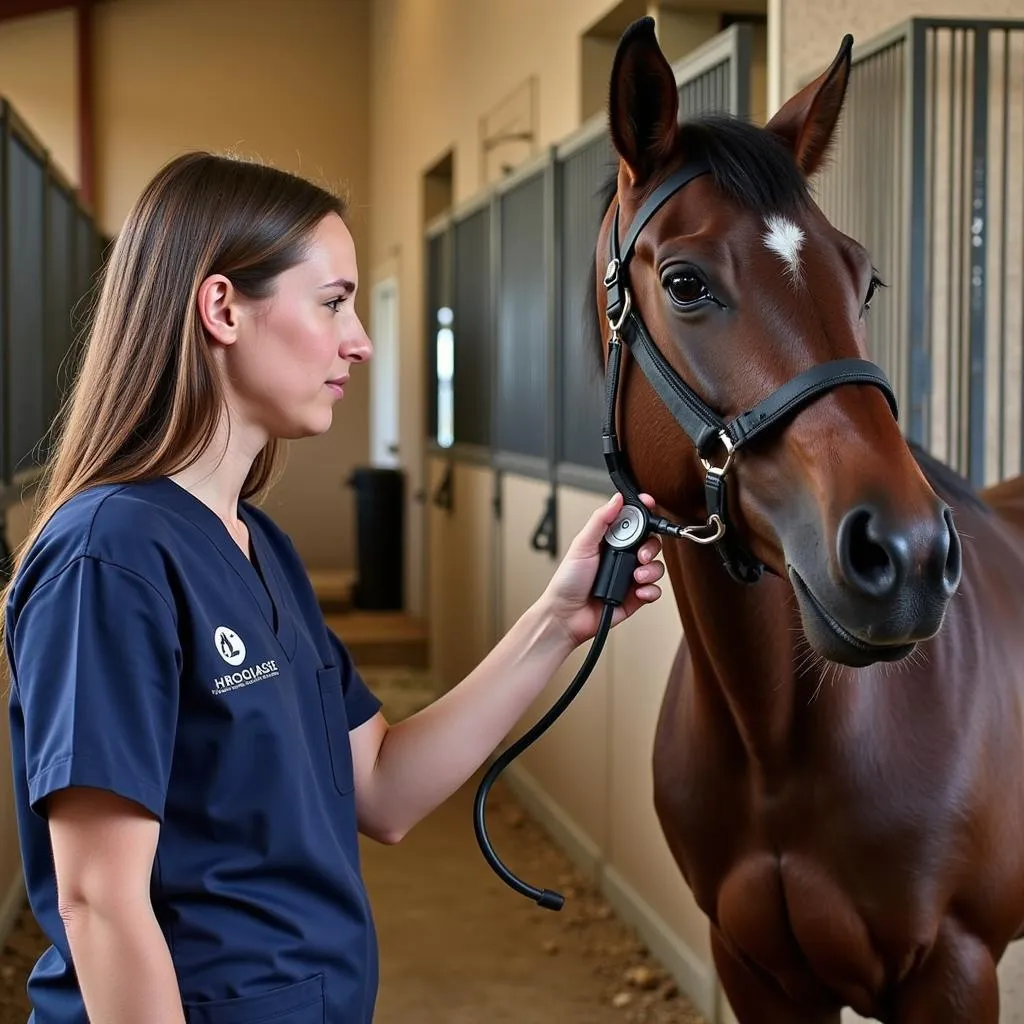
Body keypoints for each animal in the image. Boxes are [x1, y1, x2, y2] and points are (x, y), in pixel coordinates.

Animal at [598, 16, 1024, 1024]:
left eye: (864, 281)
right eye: (684, 282)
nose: (907, 555)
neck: (780, 740)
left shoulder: (957, 971)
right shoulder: (754, 967)